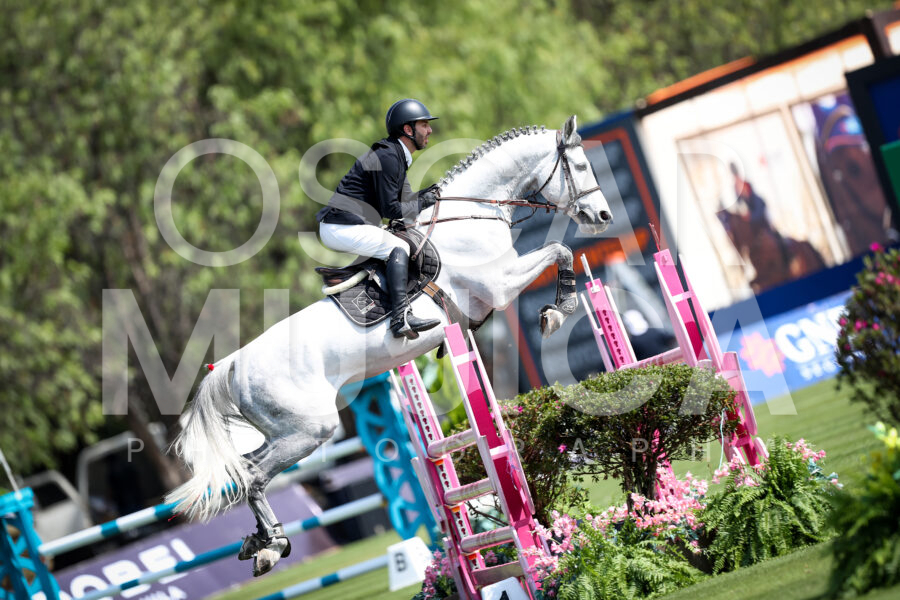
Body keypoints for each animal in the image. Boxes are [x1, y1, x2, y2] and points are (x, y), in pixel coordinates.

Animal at [165, 115, 613, 576]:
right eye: (580, 166)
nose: (602, 215)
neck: (474, 214)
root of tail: (234, 364)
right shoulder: (500, 285)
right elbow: (560, 250)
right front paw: (558, 311)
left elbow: (559, 251)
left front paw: (557, 308)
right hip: (311, 429)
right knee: (254, 478)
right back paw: (271, 545)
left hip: (285, 430)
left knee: (244, 472)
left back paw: (261, 542)